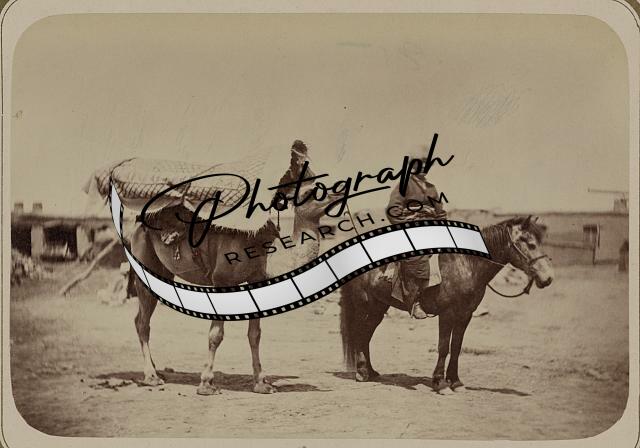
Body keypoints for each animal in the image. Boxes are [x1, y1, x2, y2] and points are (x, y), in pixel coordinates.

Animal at [129, 142, 338, 395]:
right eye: (314, 191)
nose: (340, 191)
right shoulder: (221, 281)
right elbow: (216, 335)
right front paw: (206, 384)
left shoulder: (256, 280)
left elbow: (255, 334)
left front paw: (261, 383)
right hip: (144, 264)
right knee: (142, 322)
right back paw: (151, 377)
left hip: (163, 269)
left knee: (141, 319)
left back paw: (157, 372)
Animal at [339, 216, 554, 394]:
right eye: (530, 244)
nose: (548, 278)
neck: (467, 264)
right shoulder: (447, 313)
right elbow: (444, 347)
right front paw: (440, 383)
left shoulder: (465, 314)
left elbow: (456, 346)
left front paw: (456, 382)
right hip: (364, 305)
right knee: (359, 333)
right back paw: (361, 373)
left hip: (378, 307)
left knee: (366, 335)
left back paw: (371, 371)